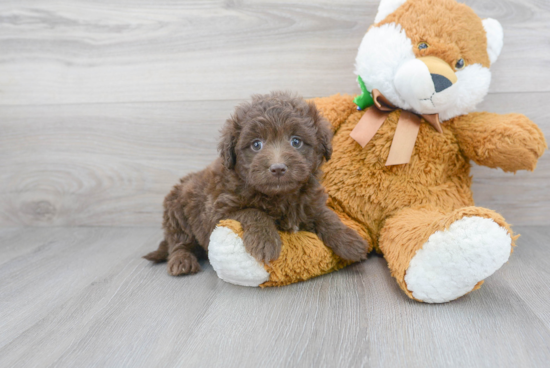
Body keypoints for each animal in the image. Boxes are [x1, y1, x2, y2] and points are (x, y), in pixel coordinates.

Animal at [146, 92, 370, 276]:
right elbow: (253, 212)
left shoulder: (309, 202)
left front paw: (349, 241)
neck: (280, 196)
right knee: (179, 242)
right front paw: (265, 242)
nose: (278, 168)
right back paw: (182, 261)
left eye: (296, 141)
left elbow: (325, 215)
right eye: (256, 144)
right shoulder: (218, 212)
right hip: (176, 210)